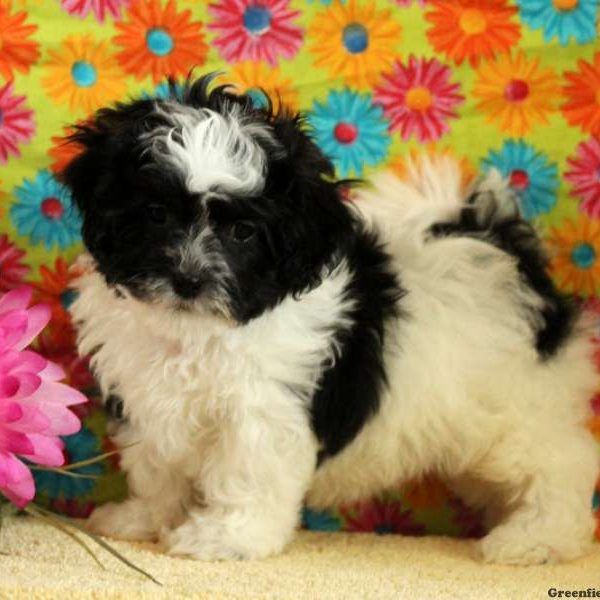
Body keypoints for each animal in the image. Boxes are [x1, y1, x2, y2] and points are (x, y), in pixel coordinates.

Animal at [63, 75, 596, 564]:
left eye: (243, 232)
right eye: (155, 214)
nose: (188, 280)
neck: (198, 333)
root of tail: (503, 247)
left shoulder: (264, 411)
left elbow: (247, 474)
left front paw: (226, 537)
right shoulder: (146, 399)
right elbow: (156, 467)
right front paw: (141, 518)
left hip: (517, 407)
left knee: (562, 463)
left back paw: (535, 539)